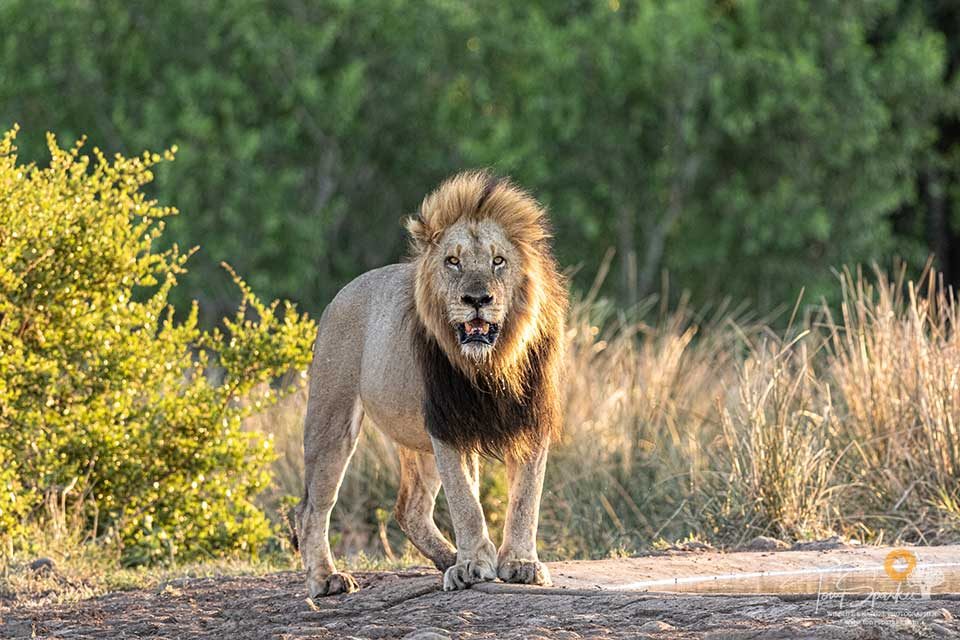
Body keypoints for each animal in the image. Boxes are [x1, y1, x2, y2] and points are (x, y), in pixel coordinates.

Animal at [296, 171, 568, 600]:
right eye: (452, 262)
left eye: (499, 261)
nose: (477, 299)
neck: (490, 364)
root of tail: (344, 290)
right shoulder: (447, 423)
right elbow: (466, 502)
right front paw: (473, 565)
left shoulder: (531, 420)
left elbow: (526, 498)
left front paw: (520, 564)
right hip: (332, 420)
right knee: (313, 508)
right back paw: (326, 578)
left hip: (415, 441)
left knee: (409, 509)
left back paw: (447, 557)